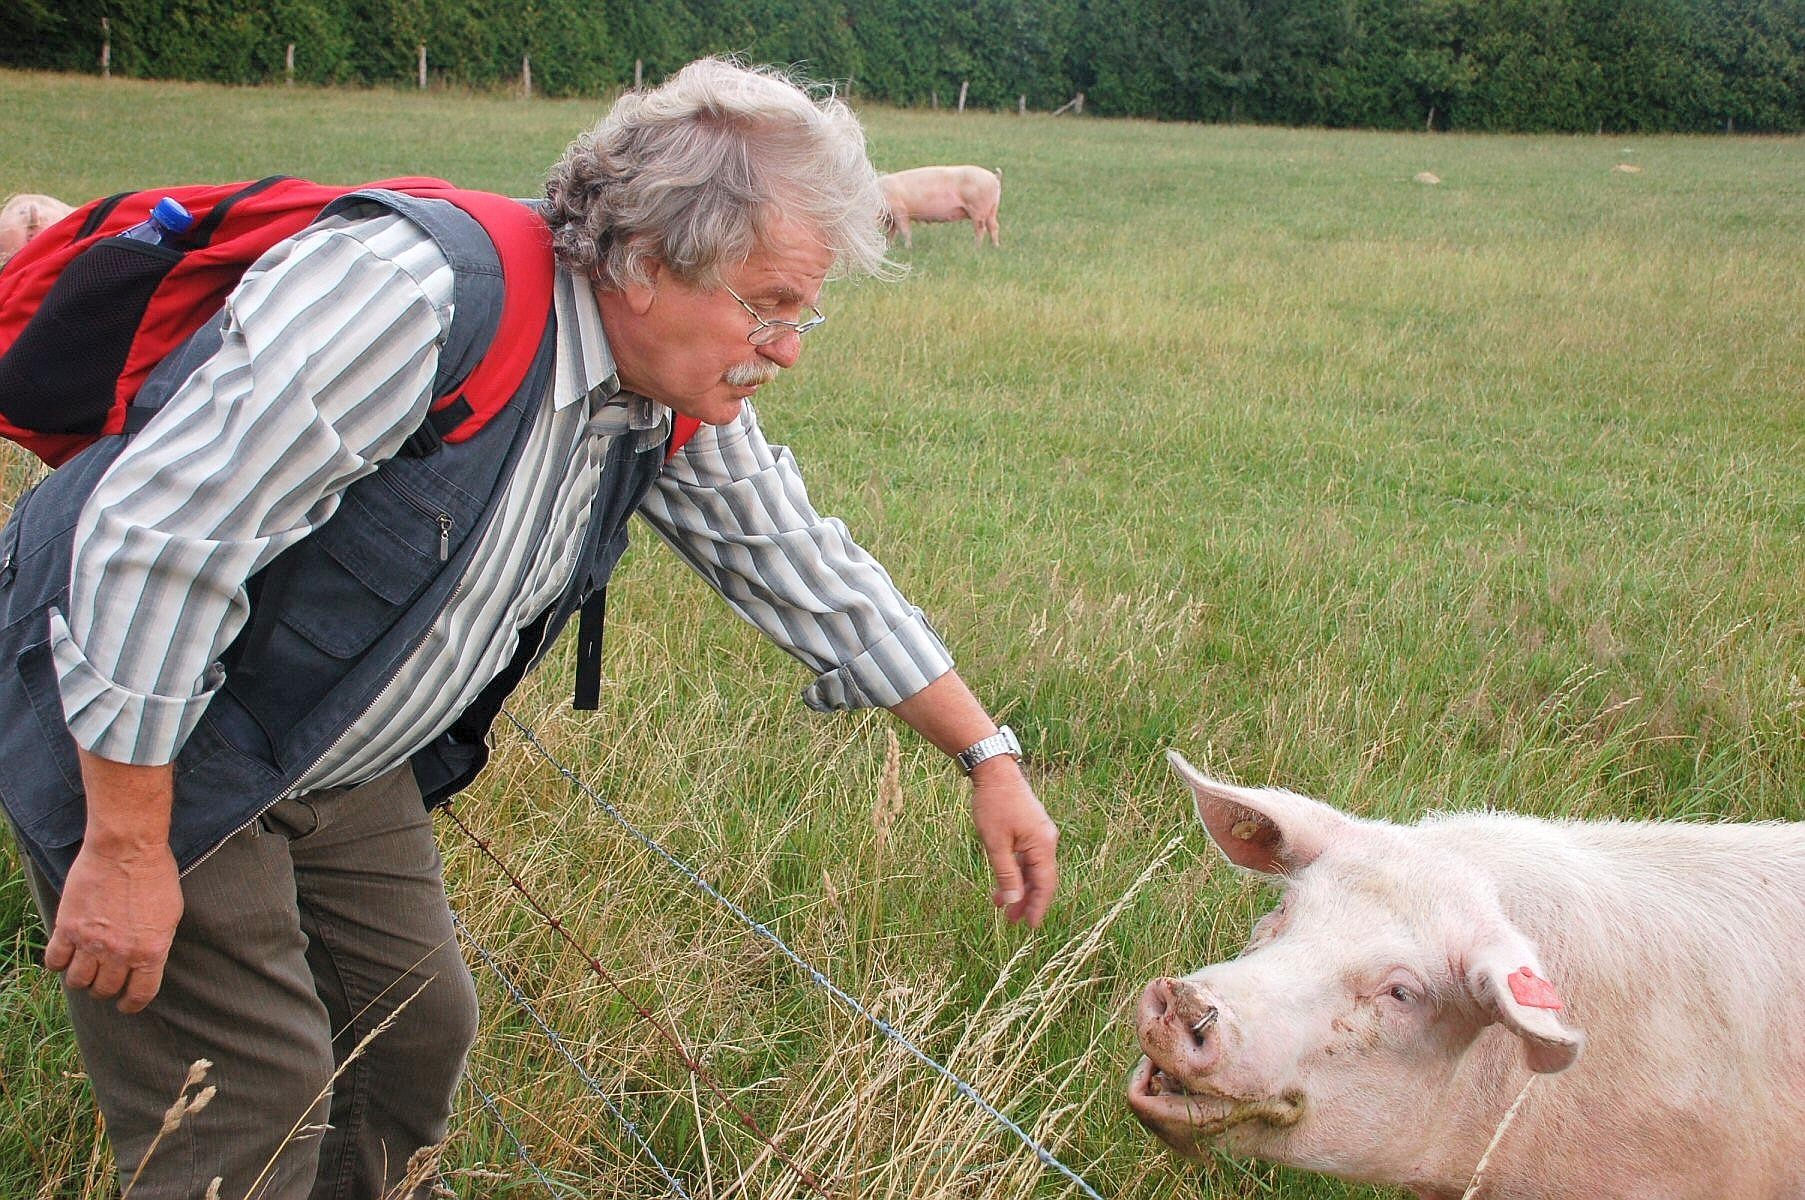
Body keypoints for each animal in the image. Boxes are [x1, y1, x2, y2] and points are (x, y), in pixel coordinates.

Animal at [873, 165, 1003, 247]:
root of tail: (994, 176)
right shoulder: (891, 217)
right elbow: (891, 232)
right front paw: (889, 246)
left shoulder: (900, 210)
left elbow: (905, 230)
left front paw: (908, 248)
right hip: (992, 209)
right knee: (994, 227)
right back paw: (995, 247)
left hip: (977, 209)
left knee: (981, 229)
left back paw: (975, 248)